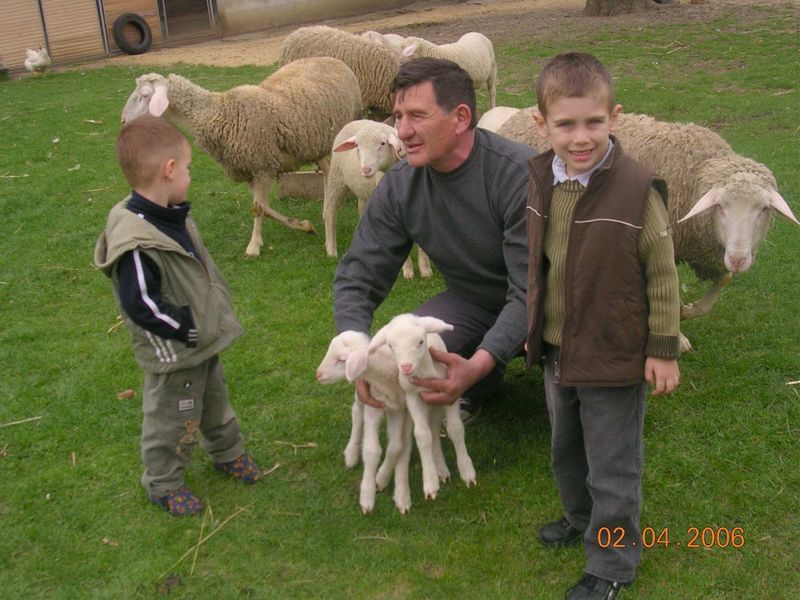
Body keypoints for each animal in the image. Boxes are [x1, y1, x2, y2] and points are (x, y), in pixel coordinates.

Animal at [119, 58, 362, 257]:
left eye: (144, 96)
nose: (122, 121)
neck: (219, 113)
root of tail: (335, 60)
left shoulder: (261, 165)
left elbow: (258, 208)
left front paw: (253, 247)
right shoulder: (248, 170)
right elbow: (265, 207)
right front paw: (302, 226)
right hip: (311, 143)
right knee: (327, 168)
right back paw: (325, 208)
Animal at [316, 330, 414, 514]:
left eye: (342, 360)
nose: (318, 374)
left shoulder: (400, 409)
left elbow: (397, 447)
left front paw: (383, 478)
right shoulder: (372, 404)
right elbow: (372, 450)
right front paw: (367, 495)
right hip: (363, 396)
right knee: (357, 413)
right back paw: (352, 453)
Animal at [324, 119, 432, 279]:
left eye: (382, 143)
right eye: (357, 146)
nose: (366, 169)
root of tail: (356, 121)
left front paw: (425, 270)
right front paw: (407, 272)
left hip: (365, 192)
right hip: (337, 178)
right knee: (330, 211)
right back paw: (331, 250)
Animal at [368, 314, 476, 501]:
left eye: (420, 341)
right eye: (390, 346)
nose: (406, 367)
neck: (424, 372)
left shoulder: (450, 394)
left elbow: (455, 429)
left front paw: (467, 471)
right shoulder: (413, 397)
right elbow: (422, 435)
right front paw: (430, 482)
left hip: (436, 407)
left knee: (435, 428)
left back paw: (441, 468)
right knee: (430, 432)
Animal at [497, 109, 799, 342]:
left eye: (763, 209)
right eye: (720, 207)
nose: (738, 259)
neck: (696, 172)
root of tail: (518, 115)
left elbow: (717, 285)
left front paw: (687, 311)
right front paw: (678, 332)